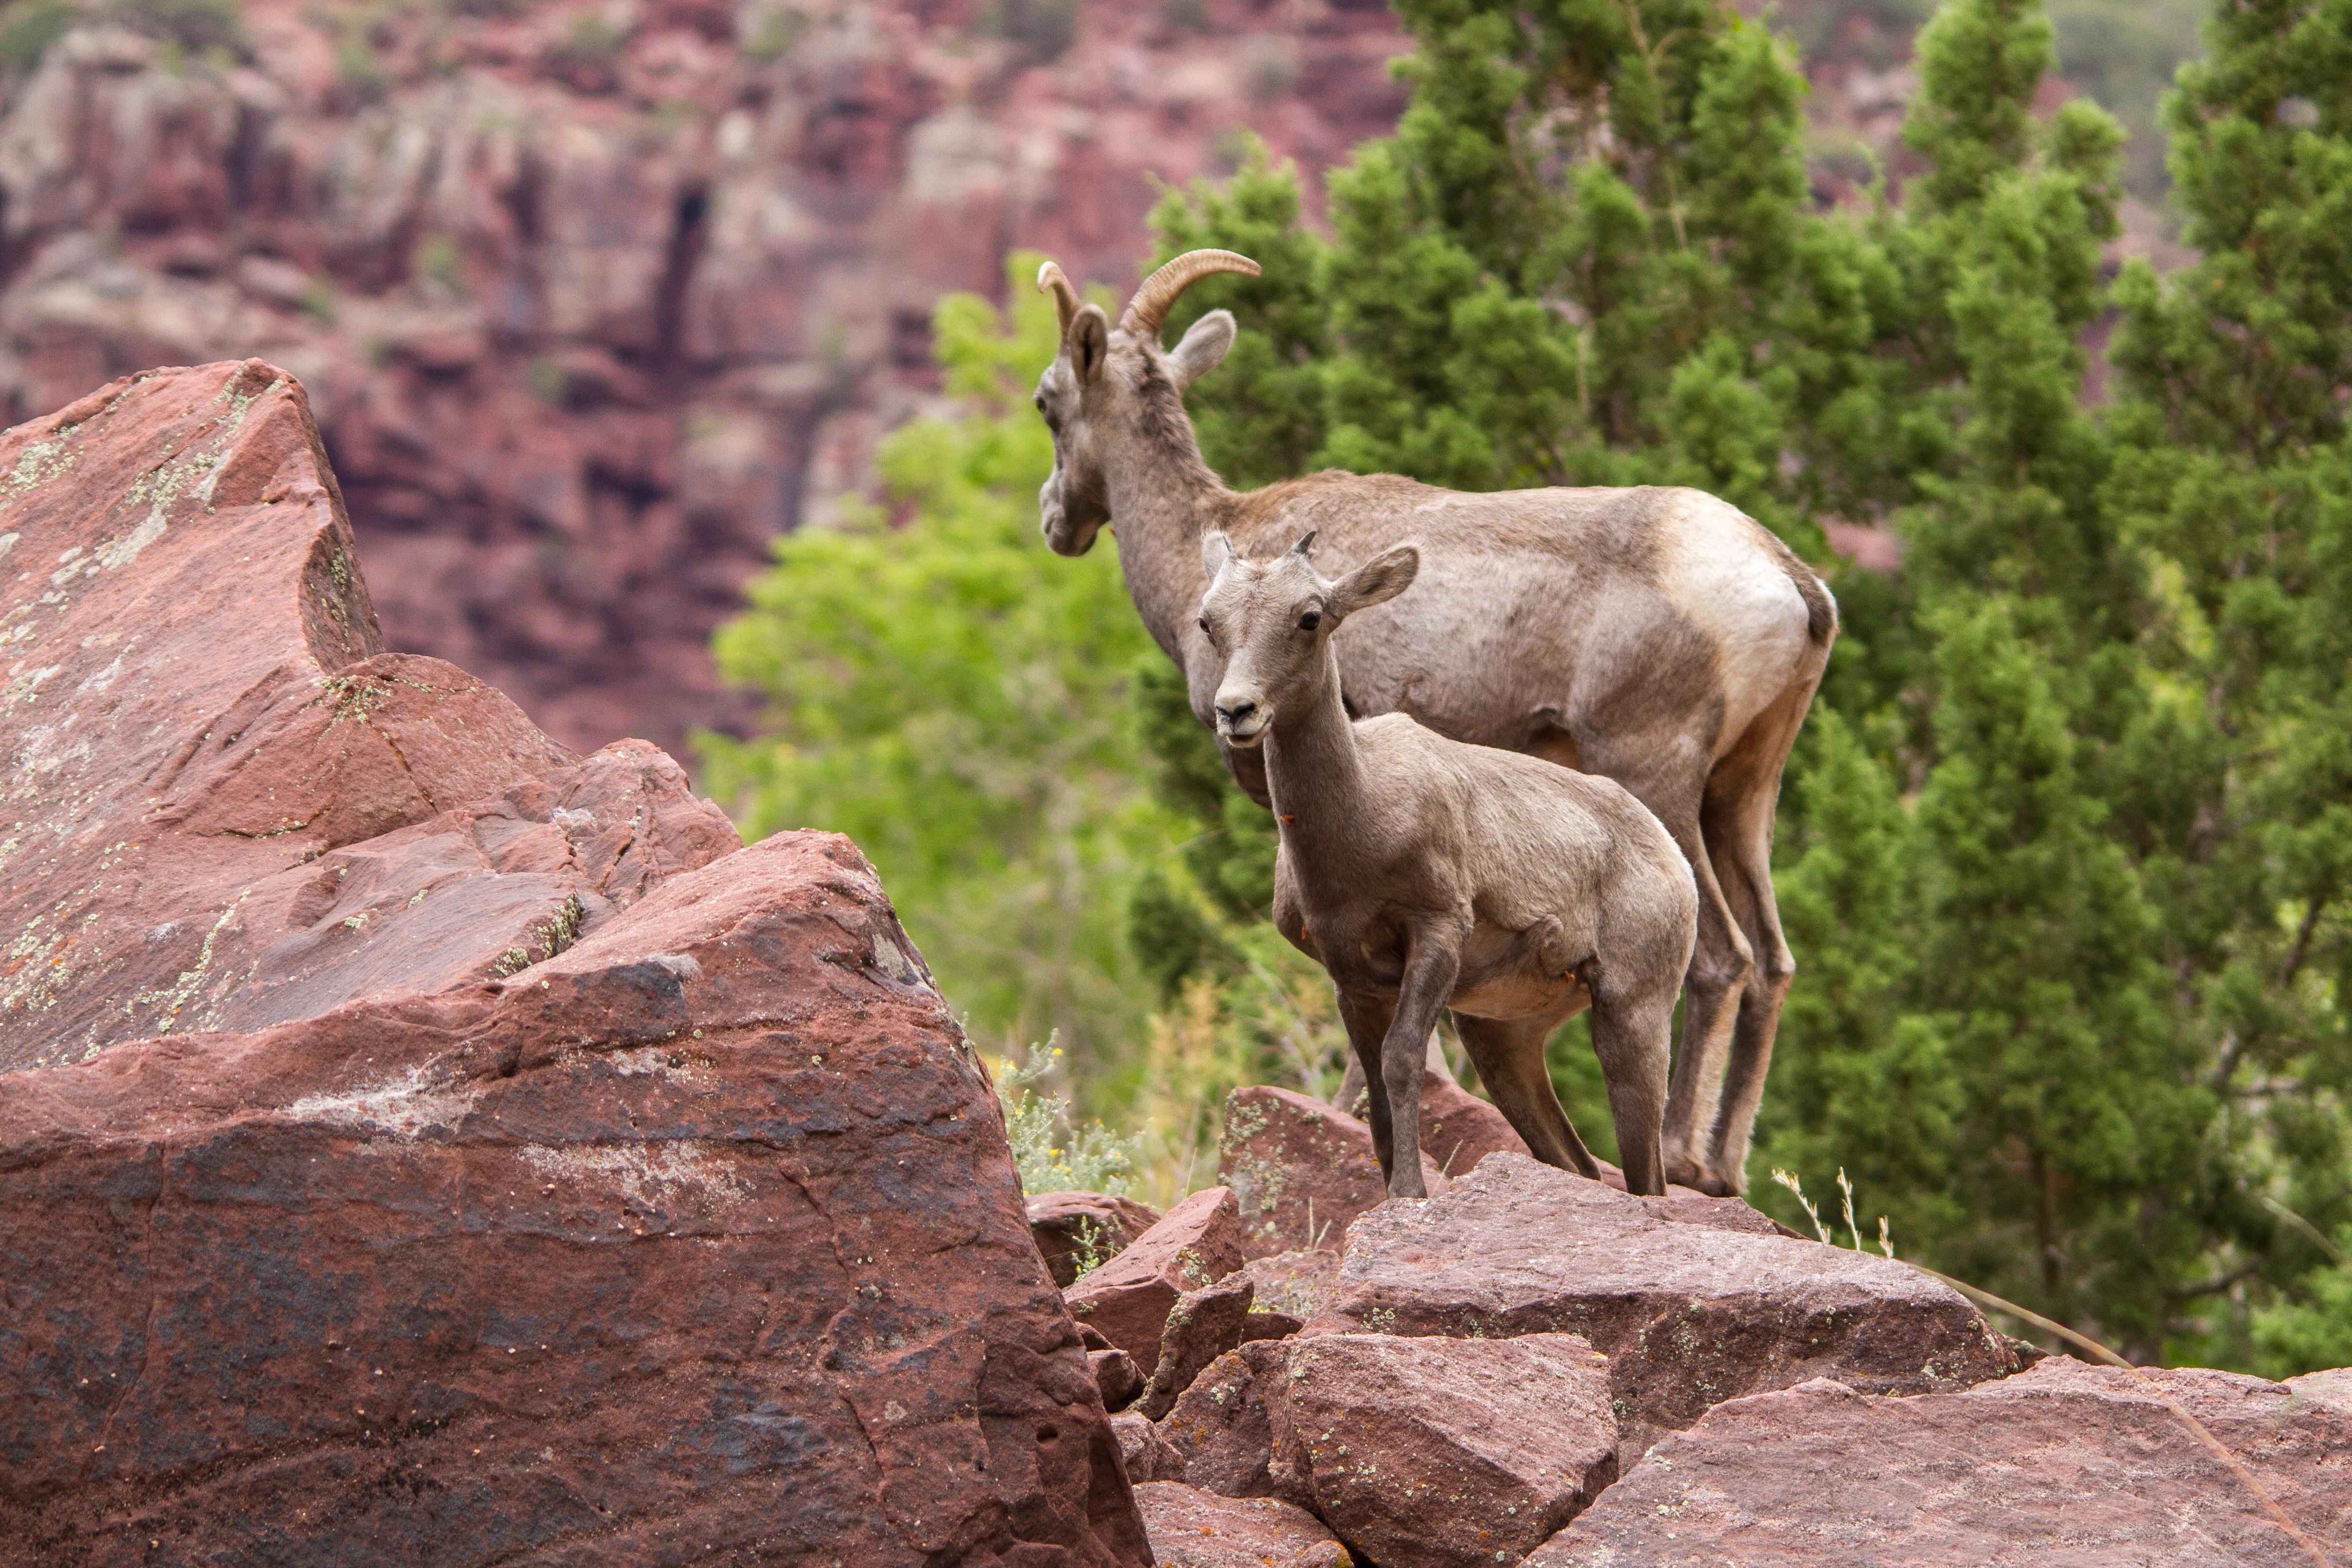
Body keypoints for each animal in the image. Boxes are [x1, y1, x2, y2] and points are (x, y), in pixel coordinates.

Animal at [1204, 534, 1703, 1194]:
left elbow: (1402, 1060)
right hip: (1501, 1036)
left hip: (1632, 1016)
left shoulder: (1438, 932)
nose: (1236, 711)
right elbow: (1374, 1095)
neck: (1359, 825)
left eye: (1310, 617)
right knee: (1577, 1165)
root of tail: (1676, 864)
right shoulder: (1351, 976)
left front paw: (1410, 1194)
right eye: (1208, 621)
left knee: (1648, 1180)